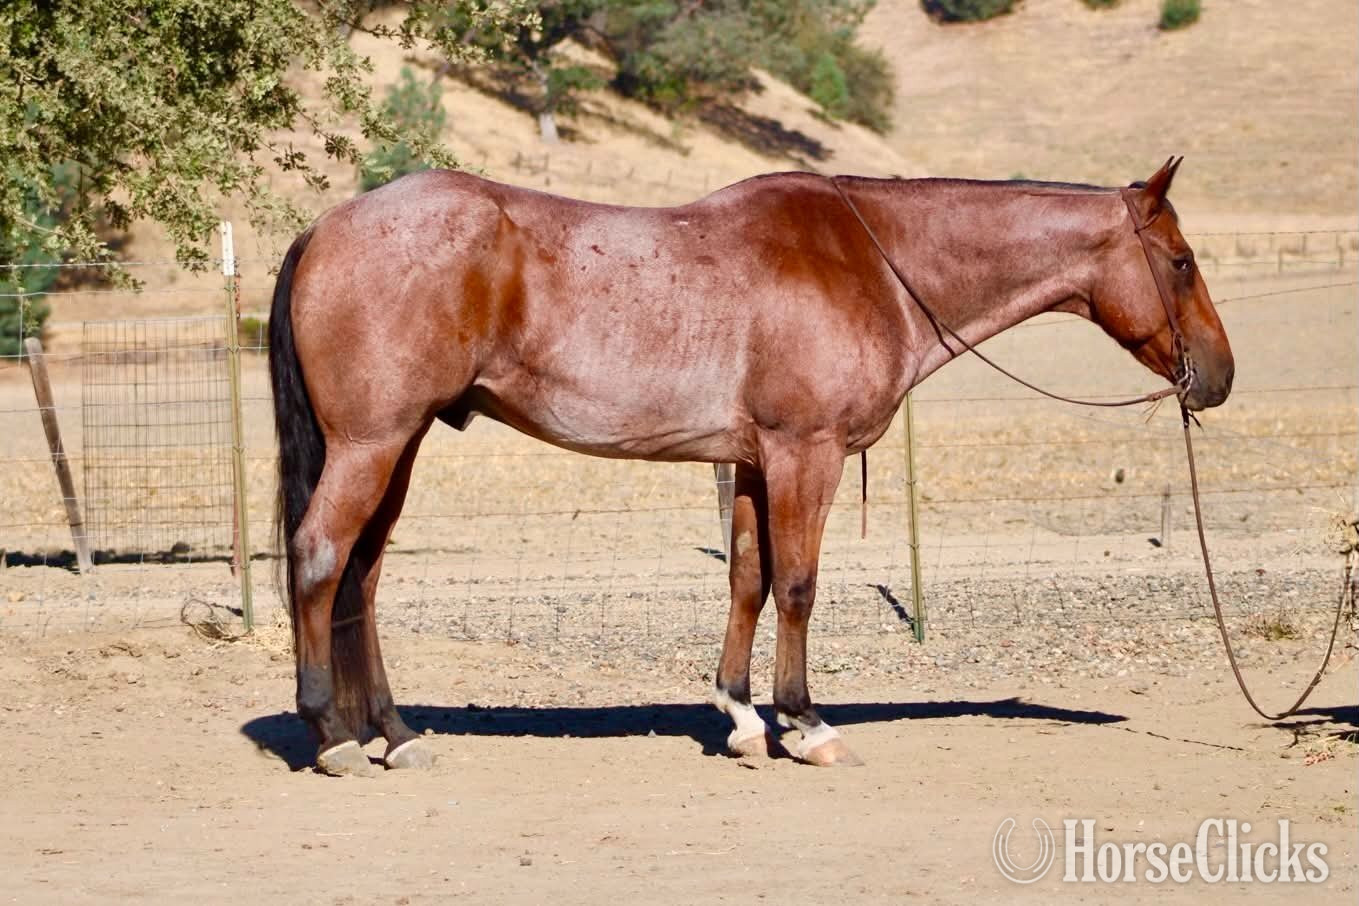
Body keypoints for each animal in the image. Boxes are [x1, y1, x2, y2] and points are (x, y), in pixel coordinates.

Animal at [268, 157, 1233, 775]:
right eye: (1181, 262)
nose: (1218, 377)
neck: (870, 259)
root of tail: (326, 226)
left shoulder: (754, 462)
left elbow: (747, 580)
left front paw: (738, 716)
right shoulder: (805, 453)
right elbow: (797, 584)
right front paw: (804, 723)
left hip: (401, 445)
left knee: (361, 576)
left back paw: (395, 733)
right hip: (373, 443)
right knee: (320, 558)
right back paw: (334, 736)